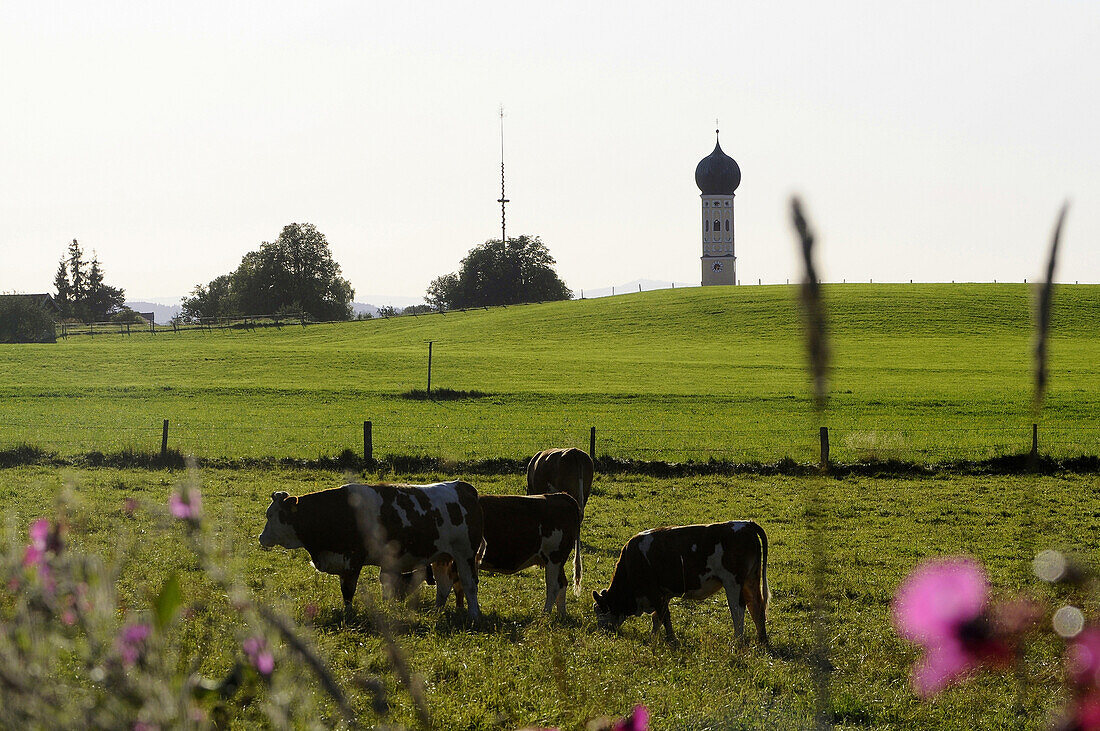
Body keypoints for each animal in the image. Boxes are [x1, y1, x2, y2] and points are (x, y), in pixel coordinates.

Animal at [257, 481, 486, 619]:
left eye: (273, 515)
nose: (261, 538)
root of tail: (464, 487)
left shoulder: (353, 559)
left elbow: (348, 591)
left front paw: (348, 614)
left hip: (465, 554)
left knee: (469, 585)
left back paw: (474, 615)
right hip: (441, 557)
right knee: (443, 586)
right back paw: (437, 612)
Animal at [435, 490, 585, 615]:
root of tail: (559, 496)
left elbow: (448, 586)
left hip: (554, 558)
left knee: (553, 586)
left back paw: (545, 614)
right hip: (556, 561)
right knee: (562, 583)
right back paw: (561, 613)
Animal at [598, 518, 770, 646]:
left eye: (600, 610)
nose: (602, 633)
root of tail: (747, 524)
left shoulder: (655, 592)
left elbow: (664, 616)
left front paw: (671, 640)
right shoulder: (664, 593)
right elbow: (657, 618)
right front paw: (653, 638)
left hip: (733, 583)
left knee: (738, 610)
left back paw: (737, 641)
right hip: (751, 580)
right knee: (757, 607)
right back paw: (761, 641)